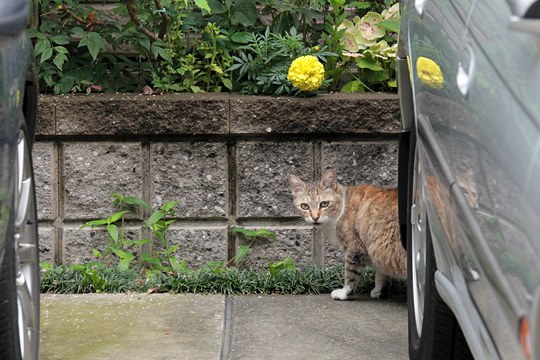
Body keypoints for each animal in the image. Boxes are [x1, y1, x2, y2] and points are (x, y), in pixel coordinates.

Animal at [286, 170, 404, 300]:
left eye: (324, 204)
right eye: (305, 206)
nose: (315, 217)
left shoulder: (355, 249)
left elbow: (351, 275)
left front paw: (345, 293)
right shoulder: (377, 249)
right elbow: (381, 273)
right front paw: (379, 291)